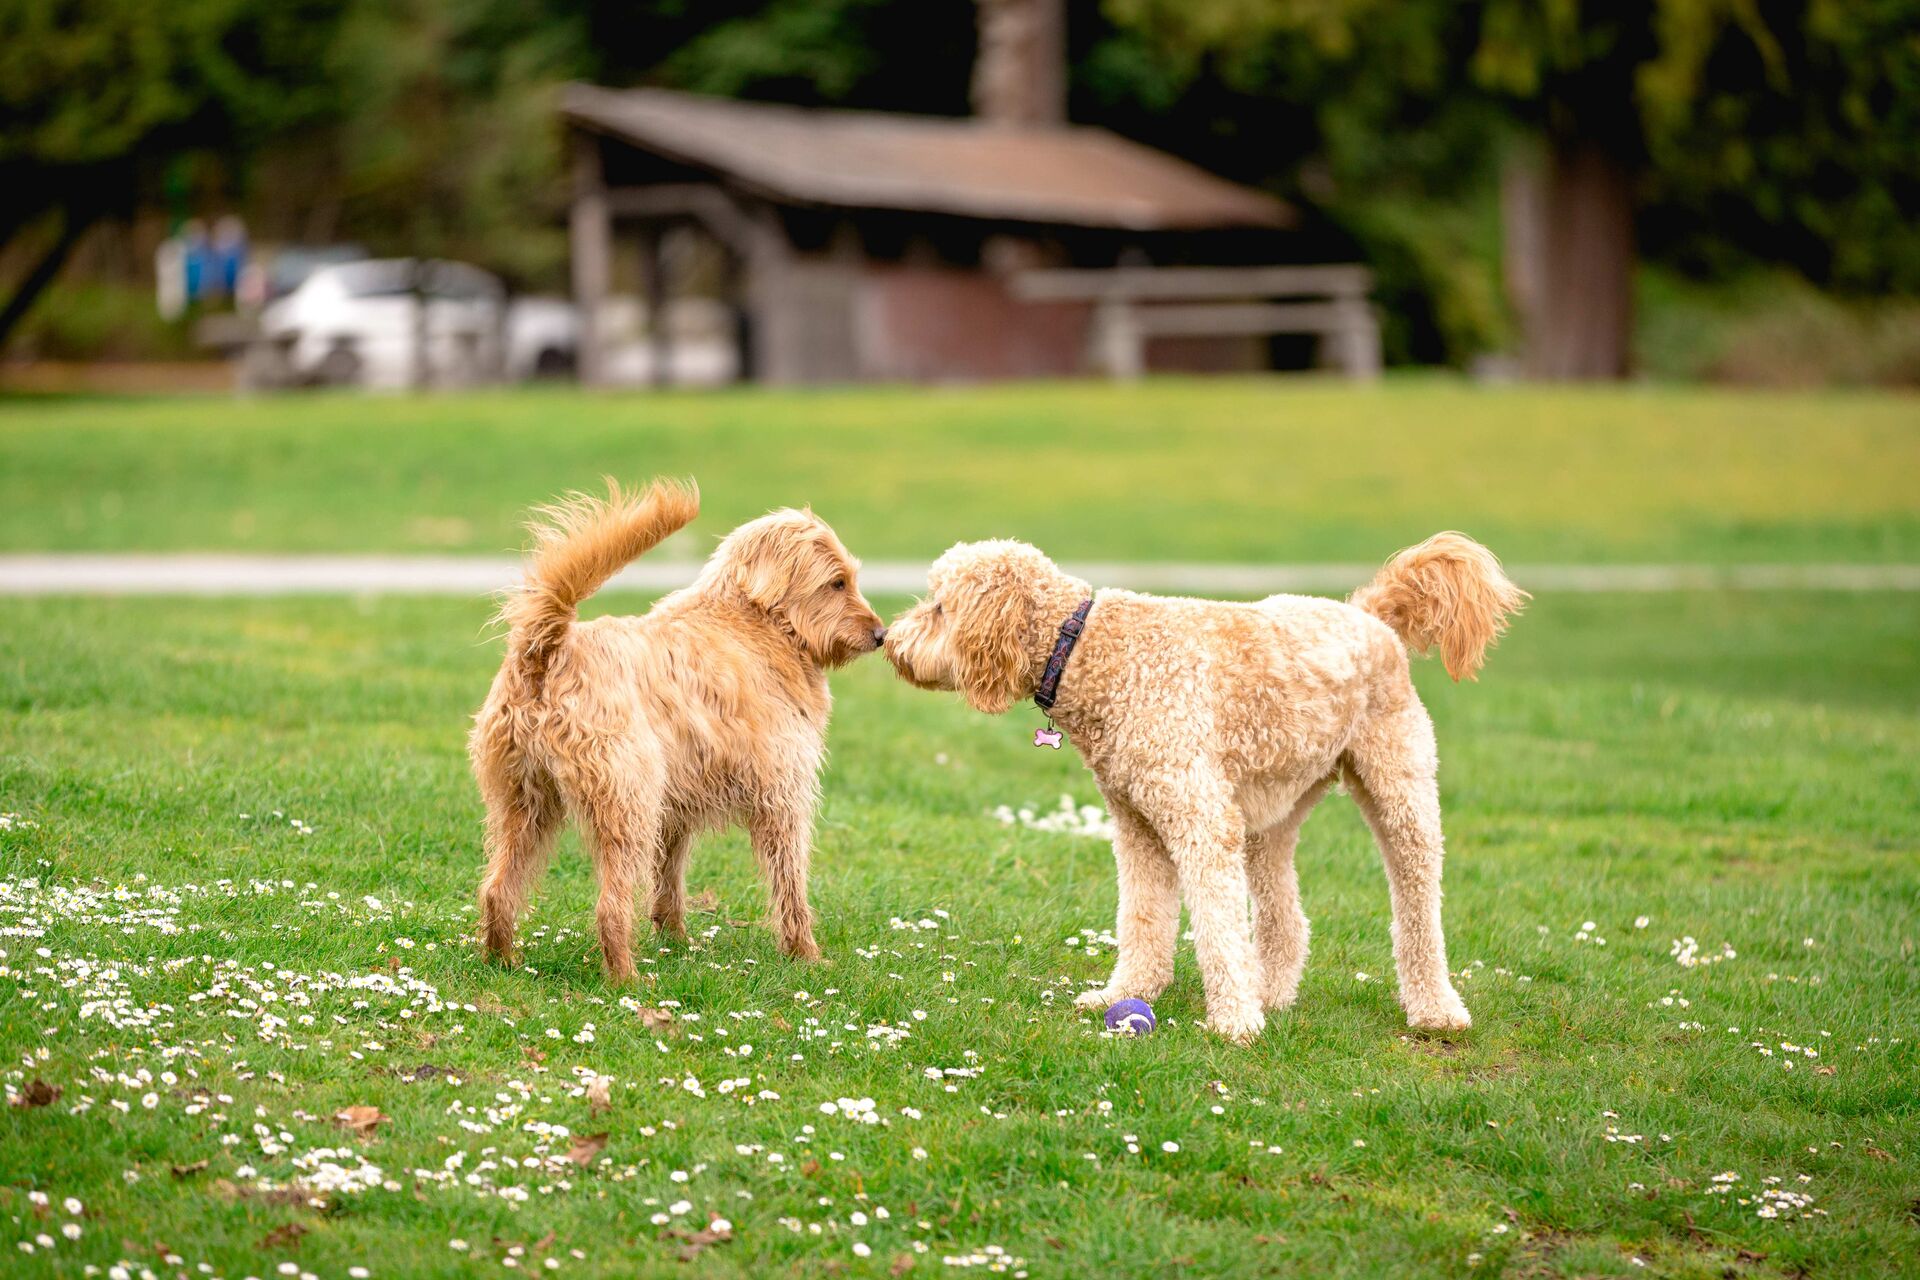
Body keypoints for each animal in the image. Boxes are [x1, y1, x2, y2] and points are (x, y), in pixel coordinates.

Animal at [468, 479, 887, 982]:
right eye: (836, 582)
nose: (882, 635)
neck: (756, 623)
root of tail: (545, 651)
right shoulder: (782, 795)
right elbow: (790, 886)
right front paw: (806, 955)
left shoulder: (677, 809)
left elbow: (669, 883)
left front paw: (676, 942)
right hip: (628, 804)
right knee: (609, 907)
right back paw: (627, 978)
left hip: (526, 804)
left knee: (498, 888)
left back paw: (502, 962)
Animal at [883, 529, 1528, 1043]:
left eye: (940, 606)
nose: (889, 639)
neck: (1089, 647)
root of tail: (1368, 613)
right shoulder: (1138, 825)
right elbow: (1143, 918)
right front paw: (1127, 992)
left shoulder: (1199, 819)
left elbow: (1216, 927)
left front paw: (1233, 1024)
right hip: (1273, 812)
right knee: (1285, 918)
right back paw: (1271, 993)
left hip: (1399, 788)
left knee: (1418, 905)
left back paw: (1435, 1010)